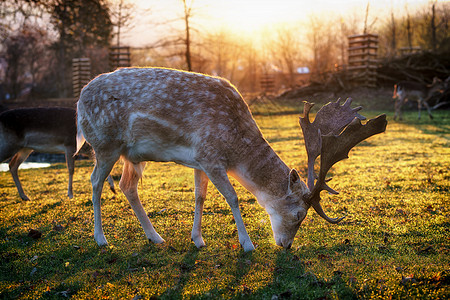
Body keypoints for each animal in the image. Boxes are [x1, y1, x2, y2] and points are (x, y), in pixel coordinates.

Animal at [76, 67, 386, 251]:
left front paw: (198, 240)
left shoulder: (200, 160)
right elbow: (233, 197)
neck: (236, 148)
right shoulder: (210, 156)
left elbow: (200, 197)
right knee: (95, 182)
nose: (285, 245)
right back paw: (101, 239)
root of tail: (78, 101)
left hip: (132, 155)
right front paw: (247, 244)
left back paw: (155, 237)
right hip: (104, 144)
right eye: (299, 214)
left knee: (127, 186)